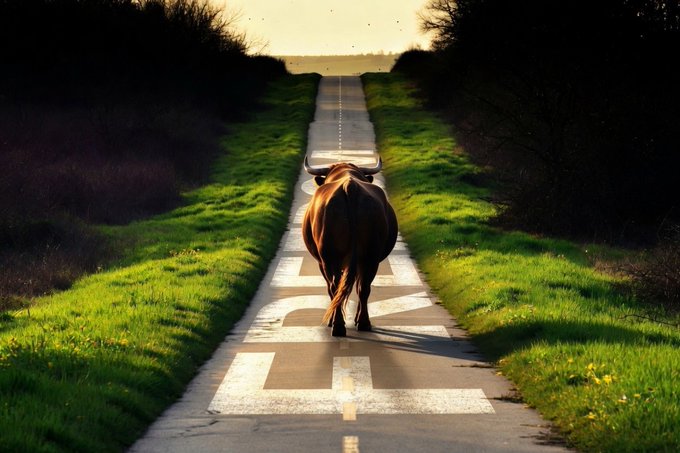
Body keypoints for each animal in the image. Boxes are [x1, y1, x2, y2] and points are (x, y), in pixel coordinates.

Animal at [302, 156, 398, 337]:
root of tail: (350, 186)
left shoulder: (322, 262)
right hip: (370, 256)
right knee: (363, 287)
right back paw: (362, 323)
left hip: (330, 257)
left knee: (336, 287)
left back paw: (338, 325)